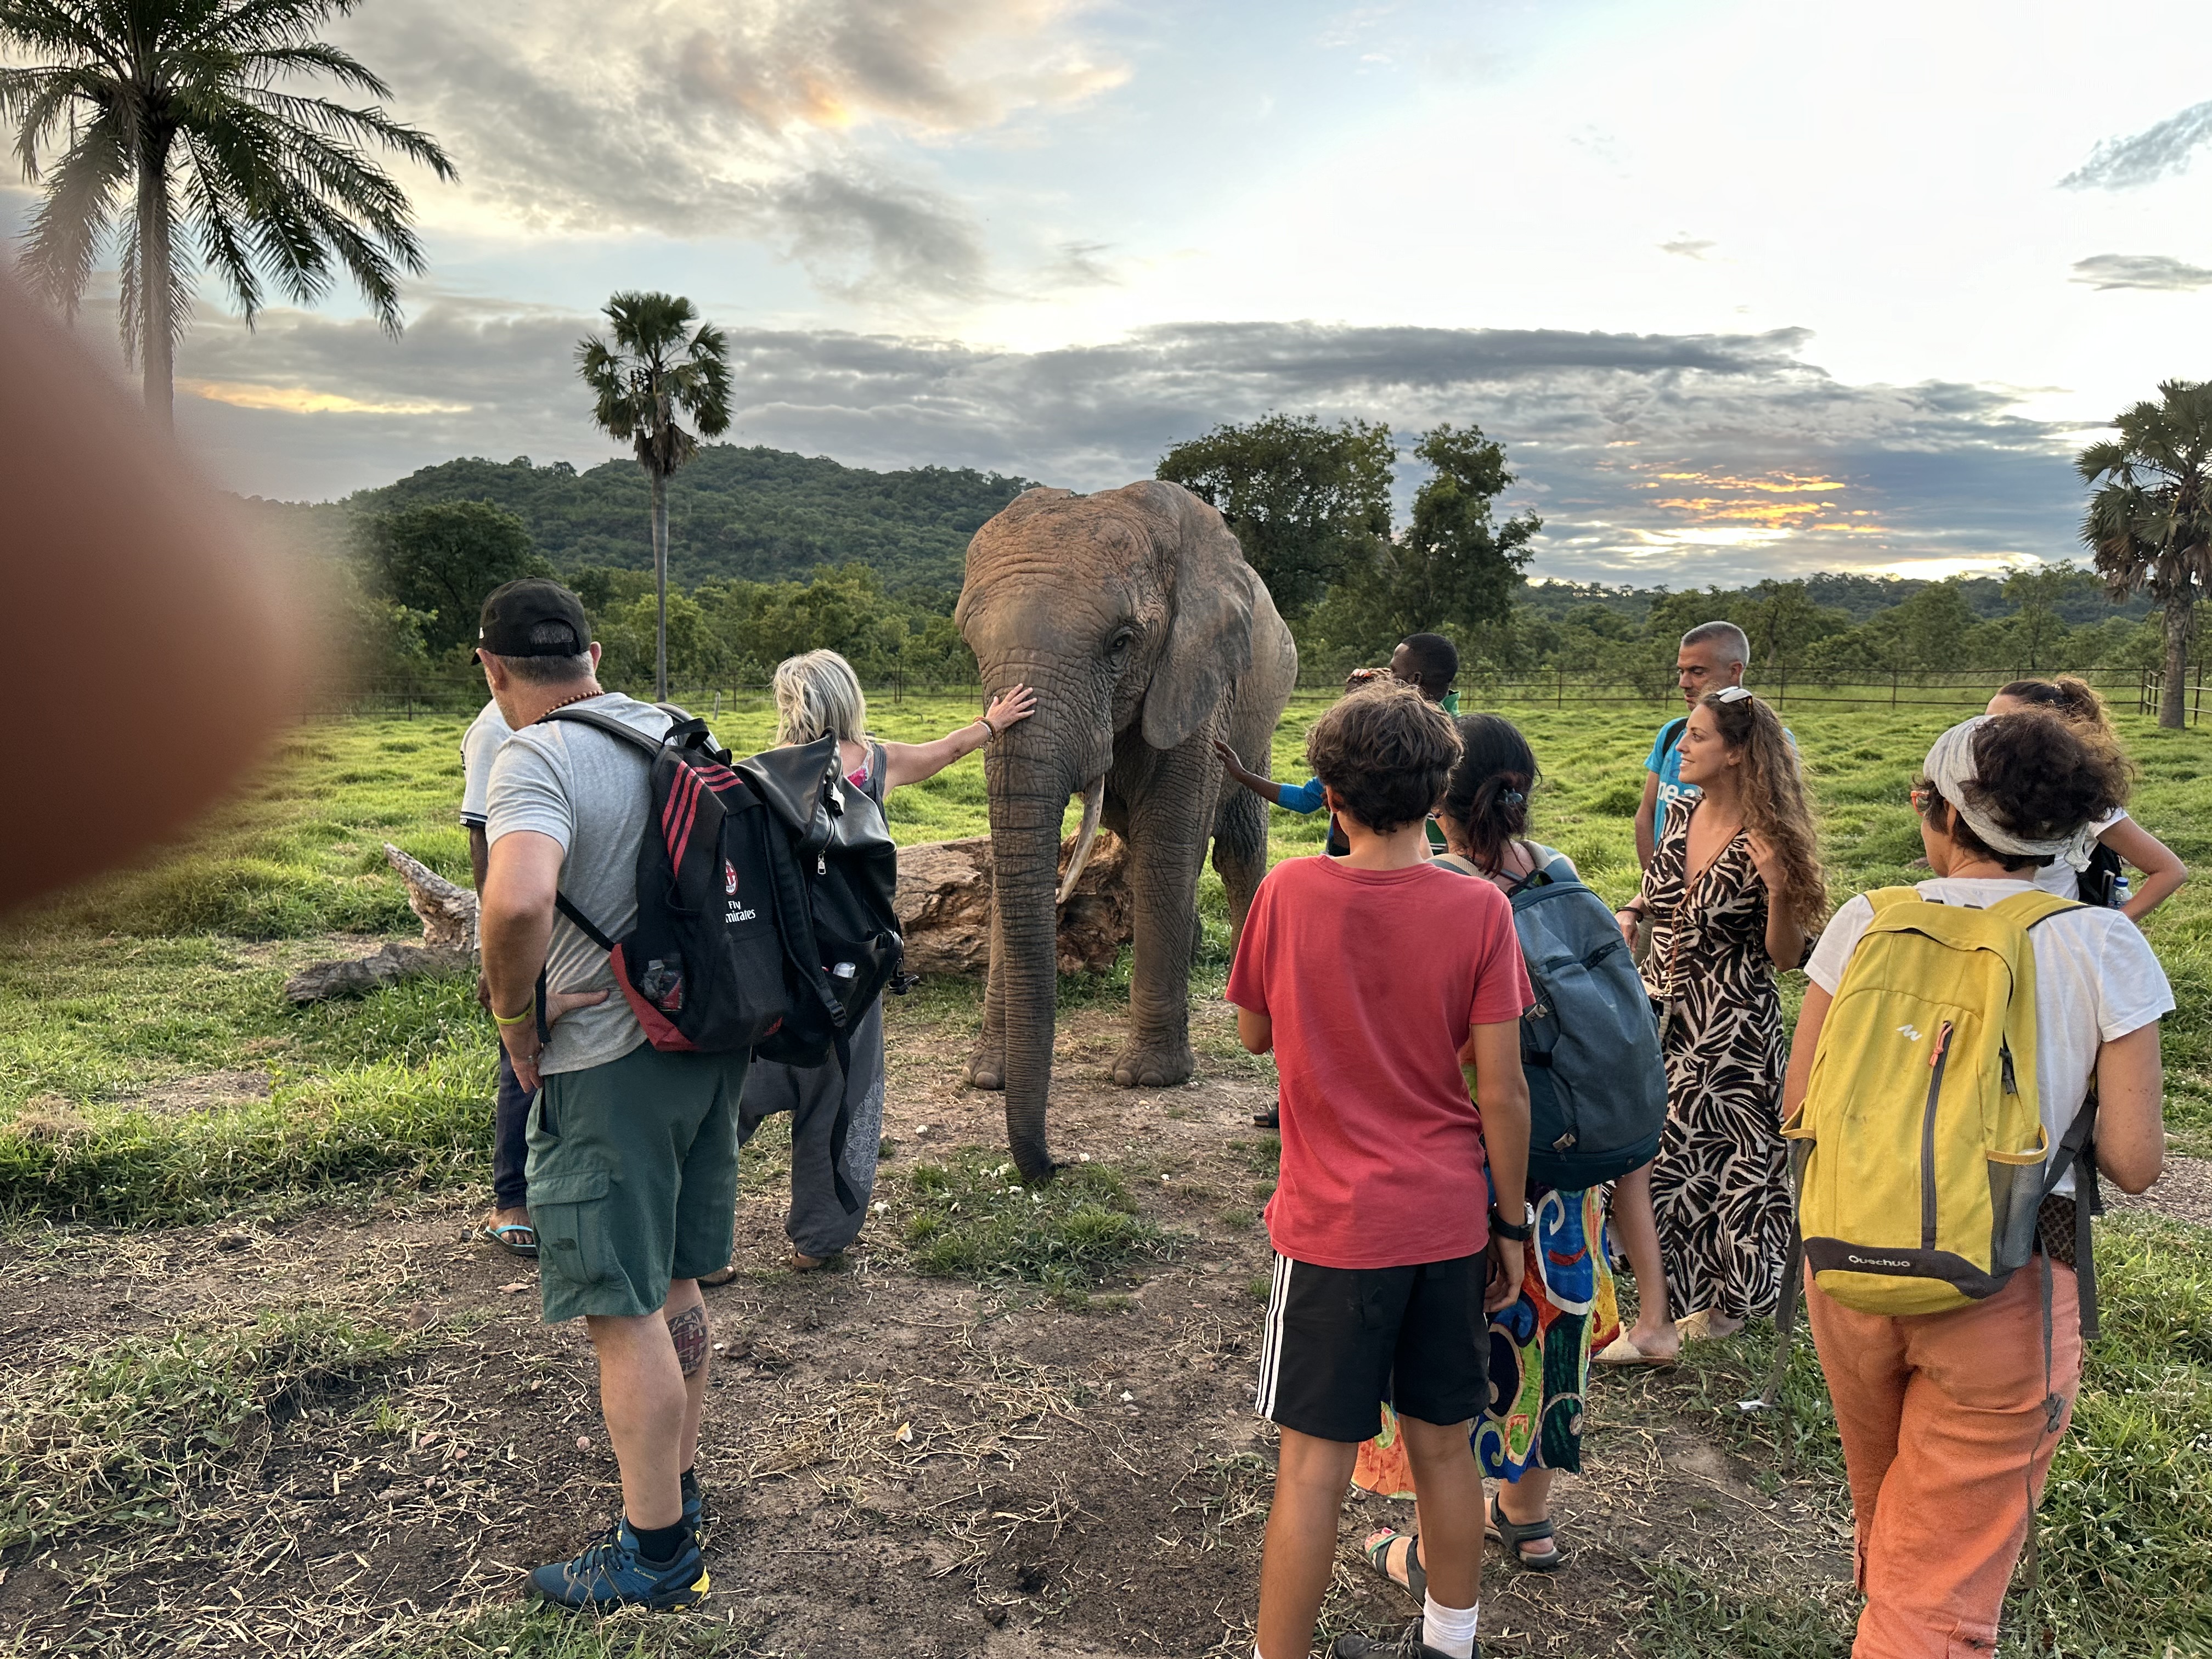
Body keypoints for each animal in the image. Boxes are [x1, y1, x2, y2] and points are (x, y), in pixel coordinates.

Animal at [954, 480, 1299, 1182]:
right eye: (971, 647)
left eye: (1120, 644)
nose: (1052, 1165)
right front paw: (986, 1077)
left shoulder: (1197, 683)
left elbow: (1170, 846)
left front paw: (1147, 1079)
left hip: (1256, 730)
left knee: (1237, 850)